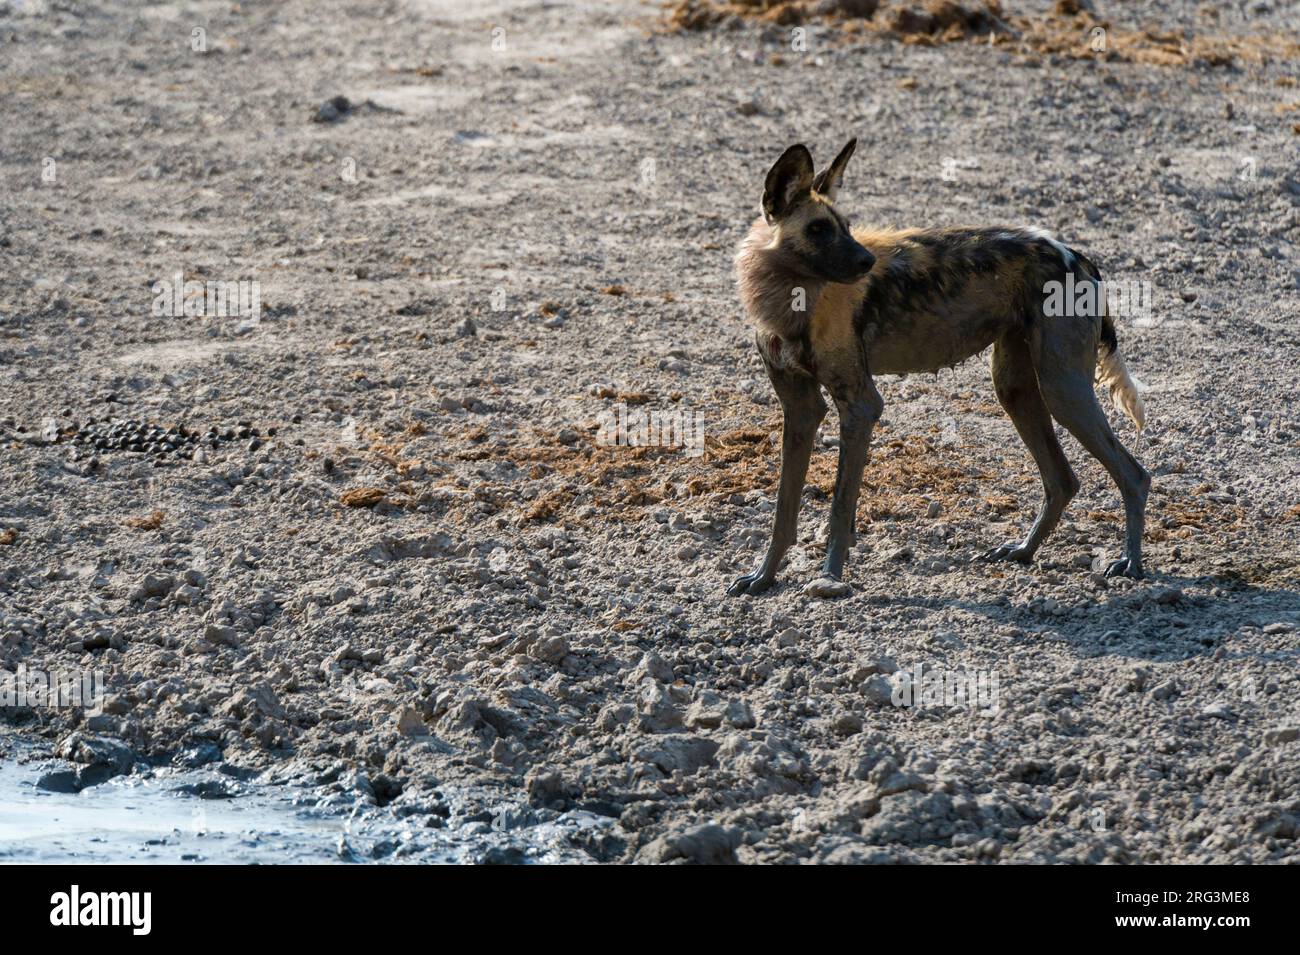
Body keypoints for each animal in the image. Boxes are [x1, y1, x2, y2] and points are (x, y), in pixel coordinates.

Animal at [733, 139, 1149, 597]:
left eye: (846, 226)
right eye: (818, 230)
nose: (866, 262)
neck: (790, 299)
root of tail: (1075, 255)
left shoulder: (860, 405)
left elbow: (840, 509)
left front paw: (830, 577)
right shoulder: (801, 410)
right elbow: (783, 510)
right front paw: (764, 576)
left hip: (1063, 391)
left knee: (1134, 475)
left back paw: (1130, 562)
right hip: (1016, 390)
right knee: (1062, 481)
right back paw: (1023, 551)